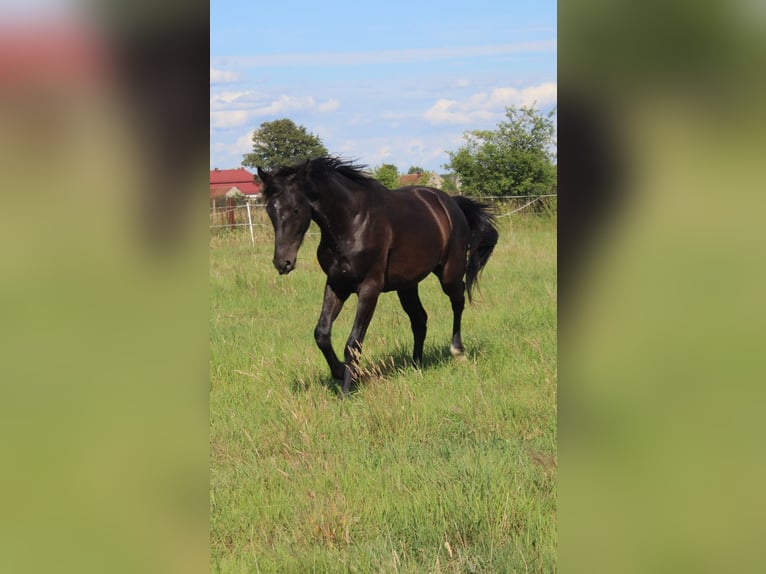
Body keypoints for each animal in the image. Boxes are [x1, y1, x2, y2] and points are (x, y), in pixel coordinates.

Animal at [258, 156, 498, 396]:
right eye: (269, 210)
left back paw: (457, 352)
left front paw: (347, 388)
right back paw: (416, 365)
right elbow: (322, 334)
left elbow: (353, 341)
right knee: (419, 319)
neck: (352, 222)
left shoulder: (369, 289)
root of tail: (451, 203)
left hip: (449, 274)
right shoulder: (336, 284)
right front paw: (340, 372)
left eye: (296, 209)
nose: (283, 263)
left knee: (458, 301)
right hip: (407, 285)